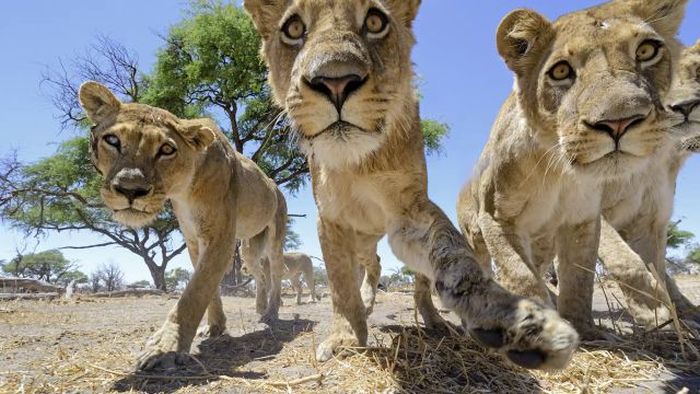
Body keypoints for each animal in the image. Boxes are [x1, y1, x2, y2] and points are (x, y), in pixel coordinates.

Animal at [80, 81, 288, 370]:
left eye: (166, 150)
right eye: (112, 140)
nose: (131, 190)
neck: (183, 190)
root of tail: (275, 185)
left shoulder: (220, 238)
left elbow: (195, 292)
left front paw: (165, 347)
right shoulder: (193, 239)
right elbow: (209, 289)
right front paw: (215, 327)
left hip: (275, 236)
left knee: (276, 272)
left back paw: (270, 313)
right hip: (248, 247)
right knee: (260, 274)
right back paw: (260, 308)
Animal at [246, 0, 580, 370]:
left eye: (375, 21)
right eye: (293, 28)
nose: (336, 82)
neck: (358, 161)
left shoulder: (411, 211)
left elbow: (456, 258)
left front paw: (515, 319)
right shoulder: (331, 220)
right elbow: (340, 284)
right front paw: (345, 337)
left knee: (418, 284)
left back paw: (433, 320)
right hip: (360, 239)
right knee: (373, 264)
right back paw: (368, 303)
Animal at [456, 0, 688, 338]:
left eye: (646, 50)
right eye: (562, 71)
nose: (619, 122)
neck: (559, 172)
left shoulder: (584, 219)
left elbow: (580, 279)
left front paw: (584, 328)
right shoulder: (496, 217)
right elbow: (520, 275)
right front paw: (540, 329)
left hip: (542, 243)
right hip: (475, 238)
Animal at [596, 40, 700, 328]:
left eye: (698, 72)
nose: (686, 106)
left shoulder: (649, 221)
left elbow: (657, 268)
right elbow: (624, 261)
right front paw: (652, 311)